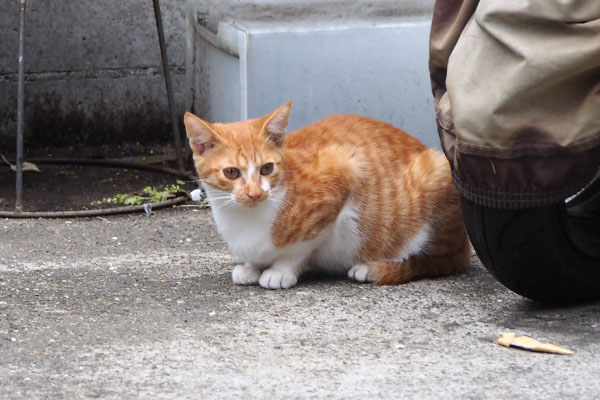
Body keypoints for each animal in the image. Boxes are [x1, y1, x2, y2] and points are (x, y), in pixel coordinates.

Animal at [183, 102, 468, 290]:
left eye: (267, 169)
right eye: (231, 172)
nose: (254, 193)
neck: (244, 219)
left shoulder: (345, 172)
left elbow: (300, 248)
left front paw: (279, 271)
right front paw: (252, 267)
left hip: (437, 171)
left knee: (443, 261)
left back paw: (374, 267)